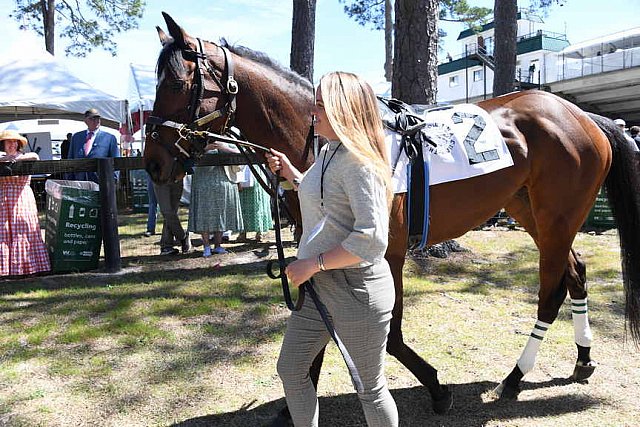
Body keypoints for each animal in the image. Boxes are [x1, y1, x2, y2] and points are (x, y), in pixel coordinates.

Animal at [144, 12, 640, 414]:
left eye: (176, 84)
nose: (153, 163)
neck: (327, 139)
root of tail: (584, 115)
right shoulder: (318, 250)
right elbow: (319, 320)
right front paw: (296, 400)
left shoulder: (388, 252)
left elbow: (391, 334)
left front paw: (437, 388)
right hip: (533, 212)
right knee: (575, 274)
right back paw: (582, 359)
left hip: (556, 218)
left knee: (550, 291)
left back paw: (515, 378)